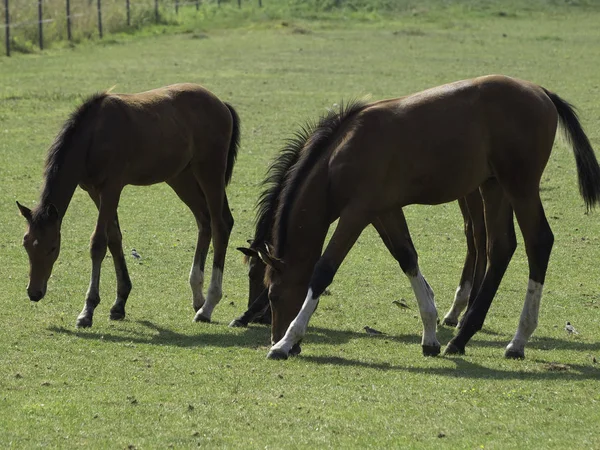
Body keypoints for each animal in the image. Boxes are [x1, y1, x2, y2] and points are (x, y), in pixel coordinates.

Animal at [17, 83, 240, 326]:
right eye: (26, 244)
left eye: (53, 248)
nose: (34, 292)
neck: (94, 135)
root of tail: (221, 104)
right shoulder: (94, 191)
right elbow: (114, 238)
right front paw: (119, 304)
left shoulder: (112, 188)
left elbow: (98, 243)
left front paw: (87, 310)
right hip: (182, 177)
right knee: (204, 221)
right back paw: (198, 298)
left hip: (209, 172)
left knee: (220, 225)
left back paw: (208, 306)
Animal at [258, 75, 600, 360]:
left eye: (273, 295)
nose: (272, 335)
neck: (342, 152)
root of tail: (540, 91)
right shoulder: (384, 210)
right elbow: (407, 257)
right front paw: (431, 334)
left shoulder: (356, 213)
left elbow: (324, 270)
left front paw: (285, 342)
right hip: (493, 187)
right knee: (500, 247)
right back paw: (460, 338)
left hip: (520, 186)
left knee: (538, 241)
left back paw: (517, 340)